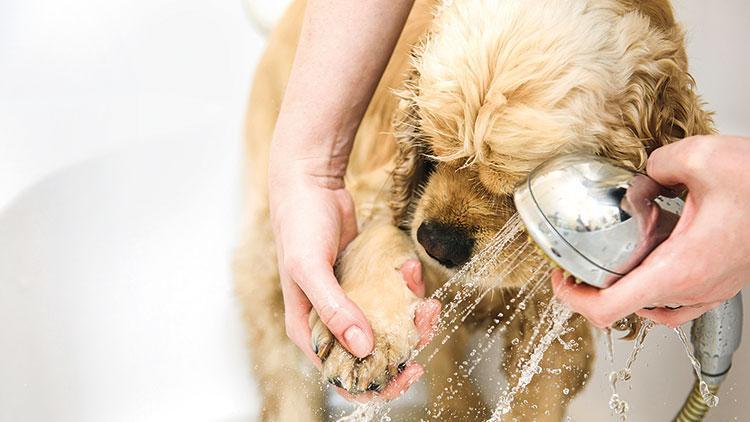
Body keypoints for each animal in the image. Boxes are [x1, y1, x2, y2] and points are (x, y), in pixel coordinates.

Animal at [236, 0, 716, 418]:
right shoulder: (379, 185)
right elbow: (380, 237)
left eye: (520, 188)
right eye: (431, 144)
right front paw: (367, 339)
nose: (436, 243)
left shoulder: (556, 315)